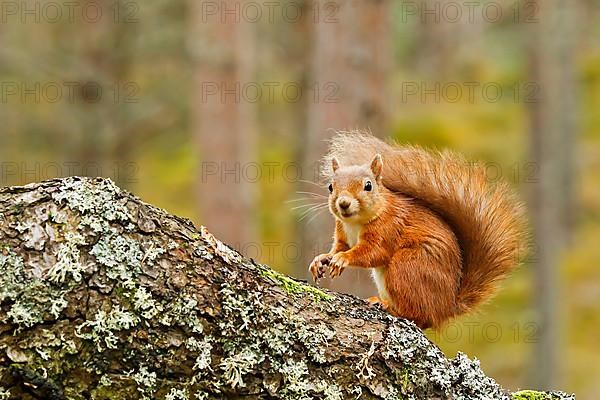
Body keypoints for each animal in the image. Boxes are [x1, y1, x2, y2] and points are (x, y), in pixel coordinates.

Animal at [310, 133, 524, 330]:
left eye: (368, 185)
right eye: (330, 187)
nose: (343, 203)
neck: (355, 222)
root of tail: (446, 307)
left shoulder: (388, 228)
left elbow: (373, 252)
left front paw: (342, 259)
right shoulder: (343, 234)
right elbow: (338, 248)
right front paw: (321, 259)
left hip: (407, 267)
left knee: (418, 317)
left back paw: (387, 306)